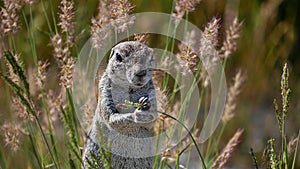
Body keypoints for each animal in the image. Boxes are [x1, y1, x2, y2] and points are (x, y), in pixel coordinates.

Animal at [82, 41, 157, 169]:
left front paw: (146, 103)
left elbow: (154, 117)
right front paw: (136, 115)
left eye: (150, 57)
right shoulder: (105, 92)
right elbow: (111, 118)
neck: (129, 87)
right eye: (119, 57)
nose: (140, 72)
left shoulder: (152, 91)